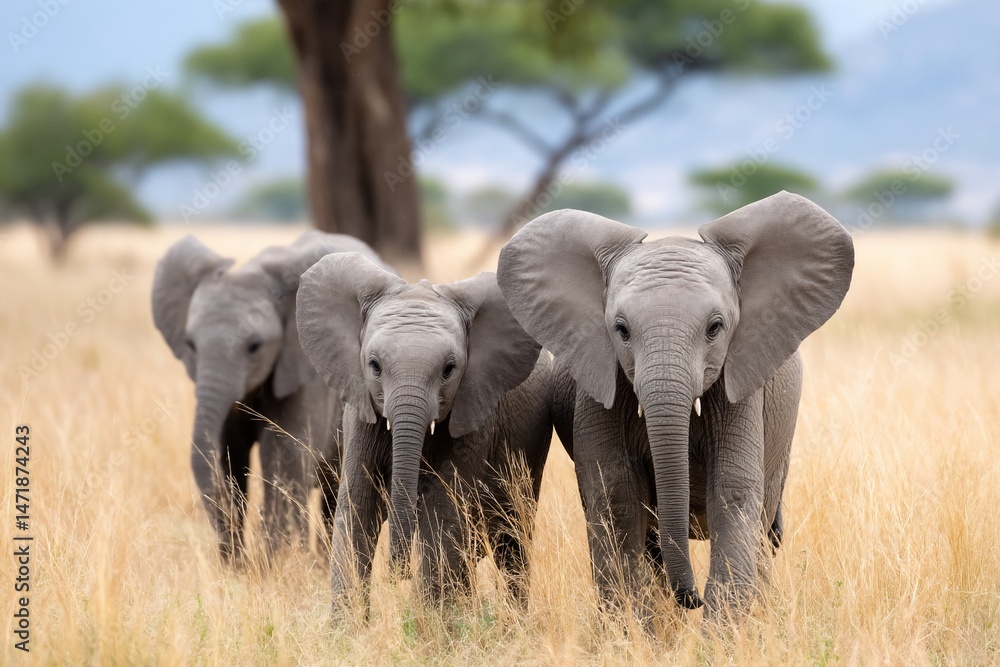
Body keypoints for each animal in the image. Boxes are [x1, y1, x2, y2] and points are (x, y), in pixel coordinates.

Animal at [152, 230, 387, 562]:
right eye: (190, 345)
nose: (237, 558)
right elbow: (230, 454)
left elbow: (282, 452)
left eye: (255, 347)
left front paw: (275, 562)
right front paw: (238, 565)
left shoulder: (306, 369)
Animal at [295, 252, 557, 609]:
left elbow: (442, 513)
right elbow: (357, 508)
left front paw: (433, 620)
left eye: (449, 369)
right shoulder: (359, 414)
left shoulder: (474, 416)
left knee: (511, 538)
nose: (398, 575)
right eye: (374, 366)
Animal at [497, 191, 855, 617]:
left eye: (715, 328)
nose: (691, 600)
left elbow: (733, 496)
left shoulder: (740, 387)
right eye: (621, 330)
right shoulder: (600, 392)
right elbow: (615, 500)